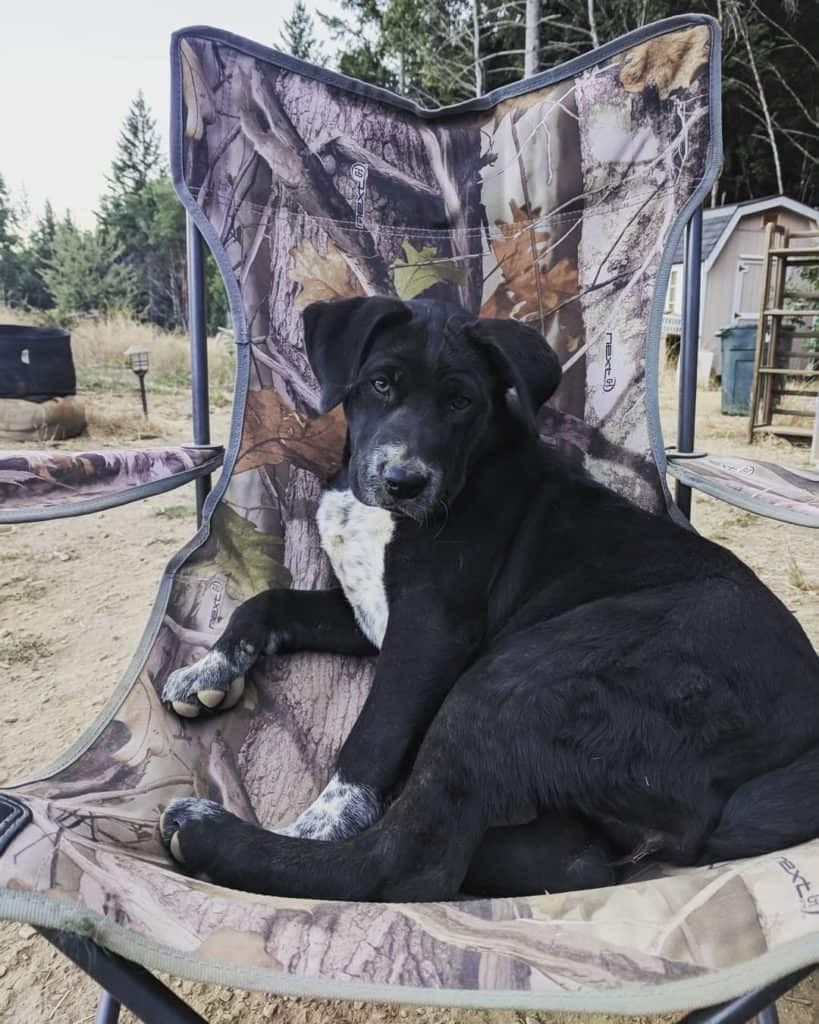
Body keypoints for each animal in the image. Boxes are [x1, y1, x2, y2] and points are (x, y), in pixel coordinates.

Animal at [158, 299, 818, 905]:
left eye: (462, 402)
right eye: (380, 383)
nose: (403, 482)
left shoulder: (429, 633)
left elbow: (370, 740)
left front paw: (324, 819)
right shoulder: (369, 615)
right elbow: (265, 602)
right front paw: (207, 670)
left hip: (520, 677)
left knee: (406, 862)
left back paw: (213, 835)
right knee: (570, 864)